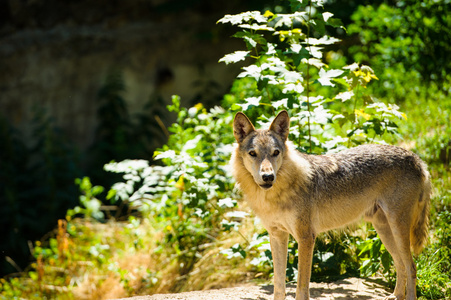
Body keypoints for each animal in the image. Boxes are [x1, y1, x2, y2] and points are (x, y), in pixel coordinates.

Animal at [231, 110, 432, 300]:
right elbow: (279, 286)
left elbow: (301, 288)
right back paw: (395, 296)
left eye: (275, 153)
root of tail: (417, 159)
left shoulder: (306, 238)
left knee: (412, 266)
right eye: (253, 153)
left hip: (397, 228)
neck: (276, 195)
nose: (268, 177)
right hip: (383, 229)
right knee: (401, 265)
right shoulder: (277, 236)